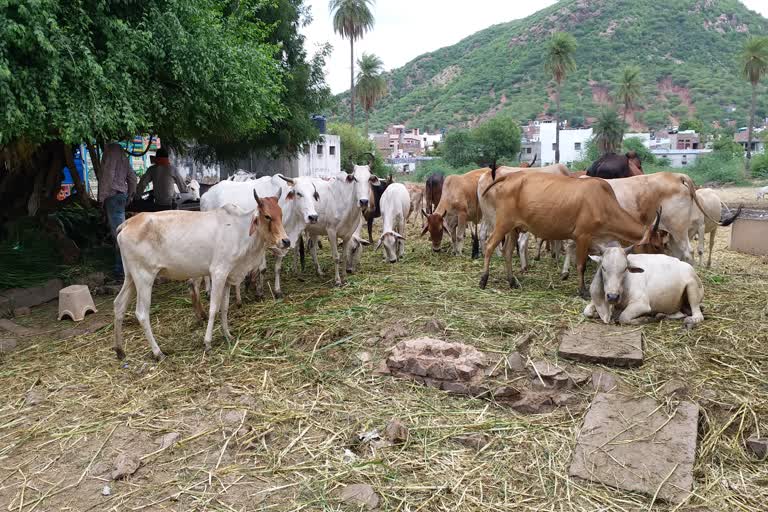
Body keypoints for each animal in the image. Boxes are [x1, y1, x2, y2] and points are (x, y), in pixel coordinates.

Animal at [115, 193, 290, 360]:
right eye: (267, 216)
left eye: (281, 214)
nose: (286, 241)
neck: (239, 230)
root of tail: (128, 223)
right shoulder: (218, 272)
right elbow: (214, 308)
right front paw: (207, 343)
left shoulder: (228, 277)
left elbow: (225, 307)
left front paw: (228, 335)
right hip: (144, 278)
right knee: (142, 313)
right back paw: (158, 353)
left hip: (130, 277)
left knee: (119, 304)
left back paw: (120, 351)